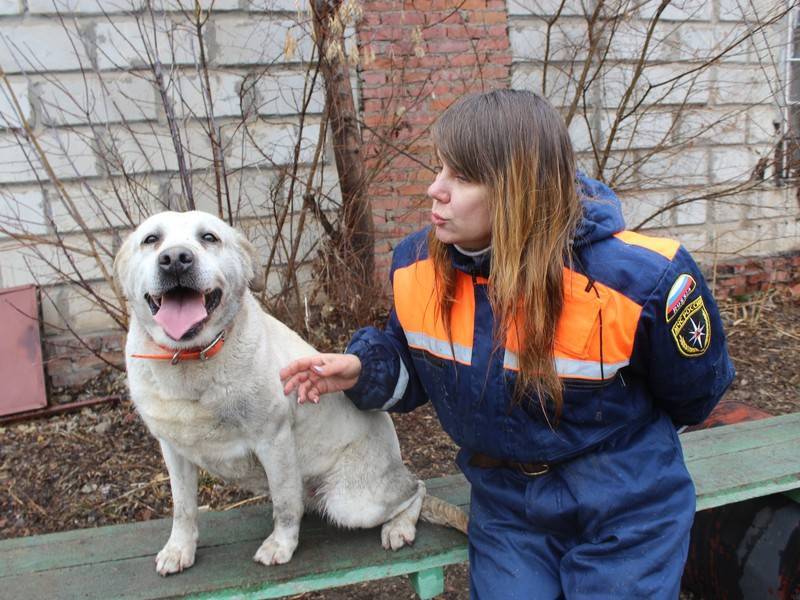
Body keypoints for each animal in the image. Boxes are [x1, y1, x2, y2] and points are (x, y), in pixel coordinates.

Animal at [111, 211, 462, 576]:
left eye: (209, 237)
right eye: (151, 240)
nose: (176, 259)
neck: (192, 359)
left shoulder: (274, 440)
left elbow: (283, 503)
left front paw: (281, 544)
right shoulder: (173, 450)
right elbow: (183, 508)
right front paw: (179, 548)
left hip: (353, 502)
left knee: (416, 489)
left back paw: (399, 526)